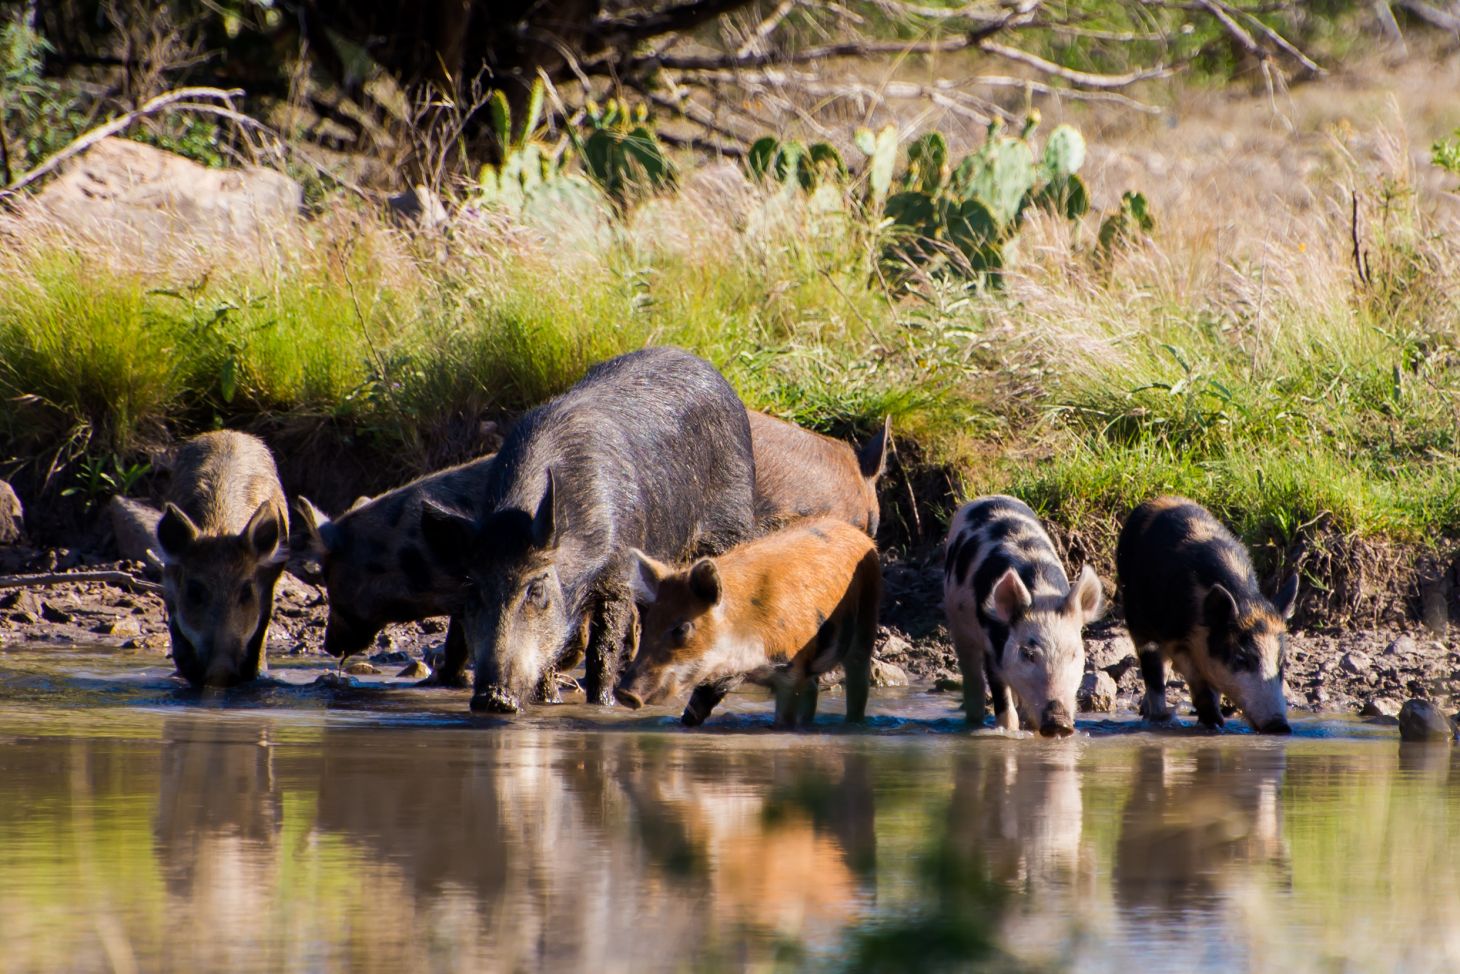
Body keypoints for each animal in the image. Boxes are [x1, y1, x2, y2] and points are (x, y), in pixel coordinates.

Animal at [155, 431, 288, 687]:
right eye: (194, 591)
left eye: (246, 591)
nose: (221, 667)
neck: (220, 528)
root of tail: (231, 433)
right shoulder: (170, 581)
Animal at [419, 346, 758, 714]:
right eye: (473, 592)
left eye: (536, 589)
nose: (493, 698)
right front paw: (549, 701)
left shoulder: (619, 572)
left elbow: (603, 649)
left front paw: (602, 704)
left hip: (730, 525)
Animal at [616, 517, 880, 728]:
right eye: (649, 623)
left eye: (681, 628)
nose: (623, 692)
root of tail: (858, 533)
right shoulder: (719, 675)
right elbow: (694, 711)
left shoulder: (791, 669)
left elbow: (784, 719)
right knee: (814, 688)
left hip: (866, 622)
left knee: (858, 680)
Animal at [942, 495, 1104, 736]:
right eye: (1027, 654)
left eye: (1074, 654)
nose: (1059, 722)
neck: (1042, 593)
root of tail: (989, 497)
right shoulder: (993, 649)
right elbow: (1005, 705)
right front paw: (1007, 732)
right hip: (957, 622)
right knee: (972, 677)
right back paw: (973, 722)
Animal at [1116, 496, 1297, 734]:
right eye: (1241, 659)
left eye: (1282, 664)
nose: (1280, 726)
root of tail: (1159, 499)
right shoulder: (1175, 638)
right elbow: (1197, 678)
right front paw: (1214, 723)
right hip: (1136, 618)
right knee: (1152, 669)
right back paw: (1158, 717)